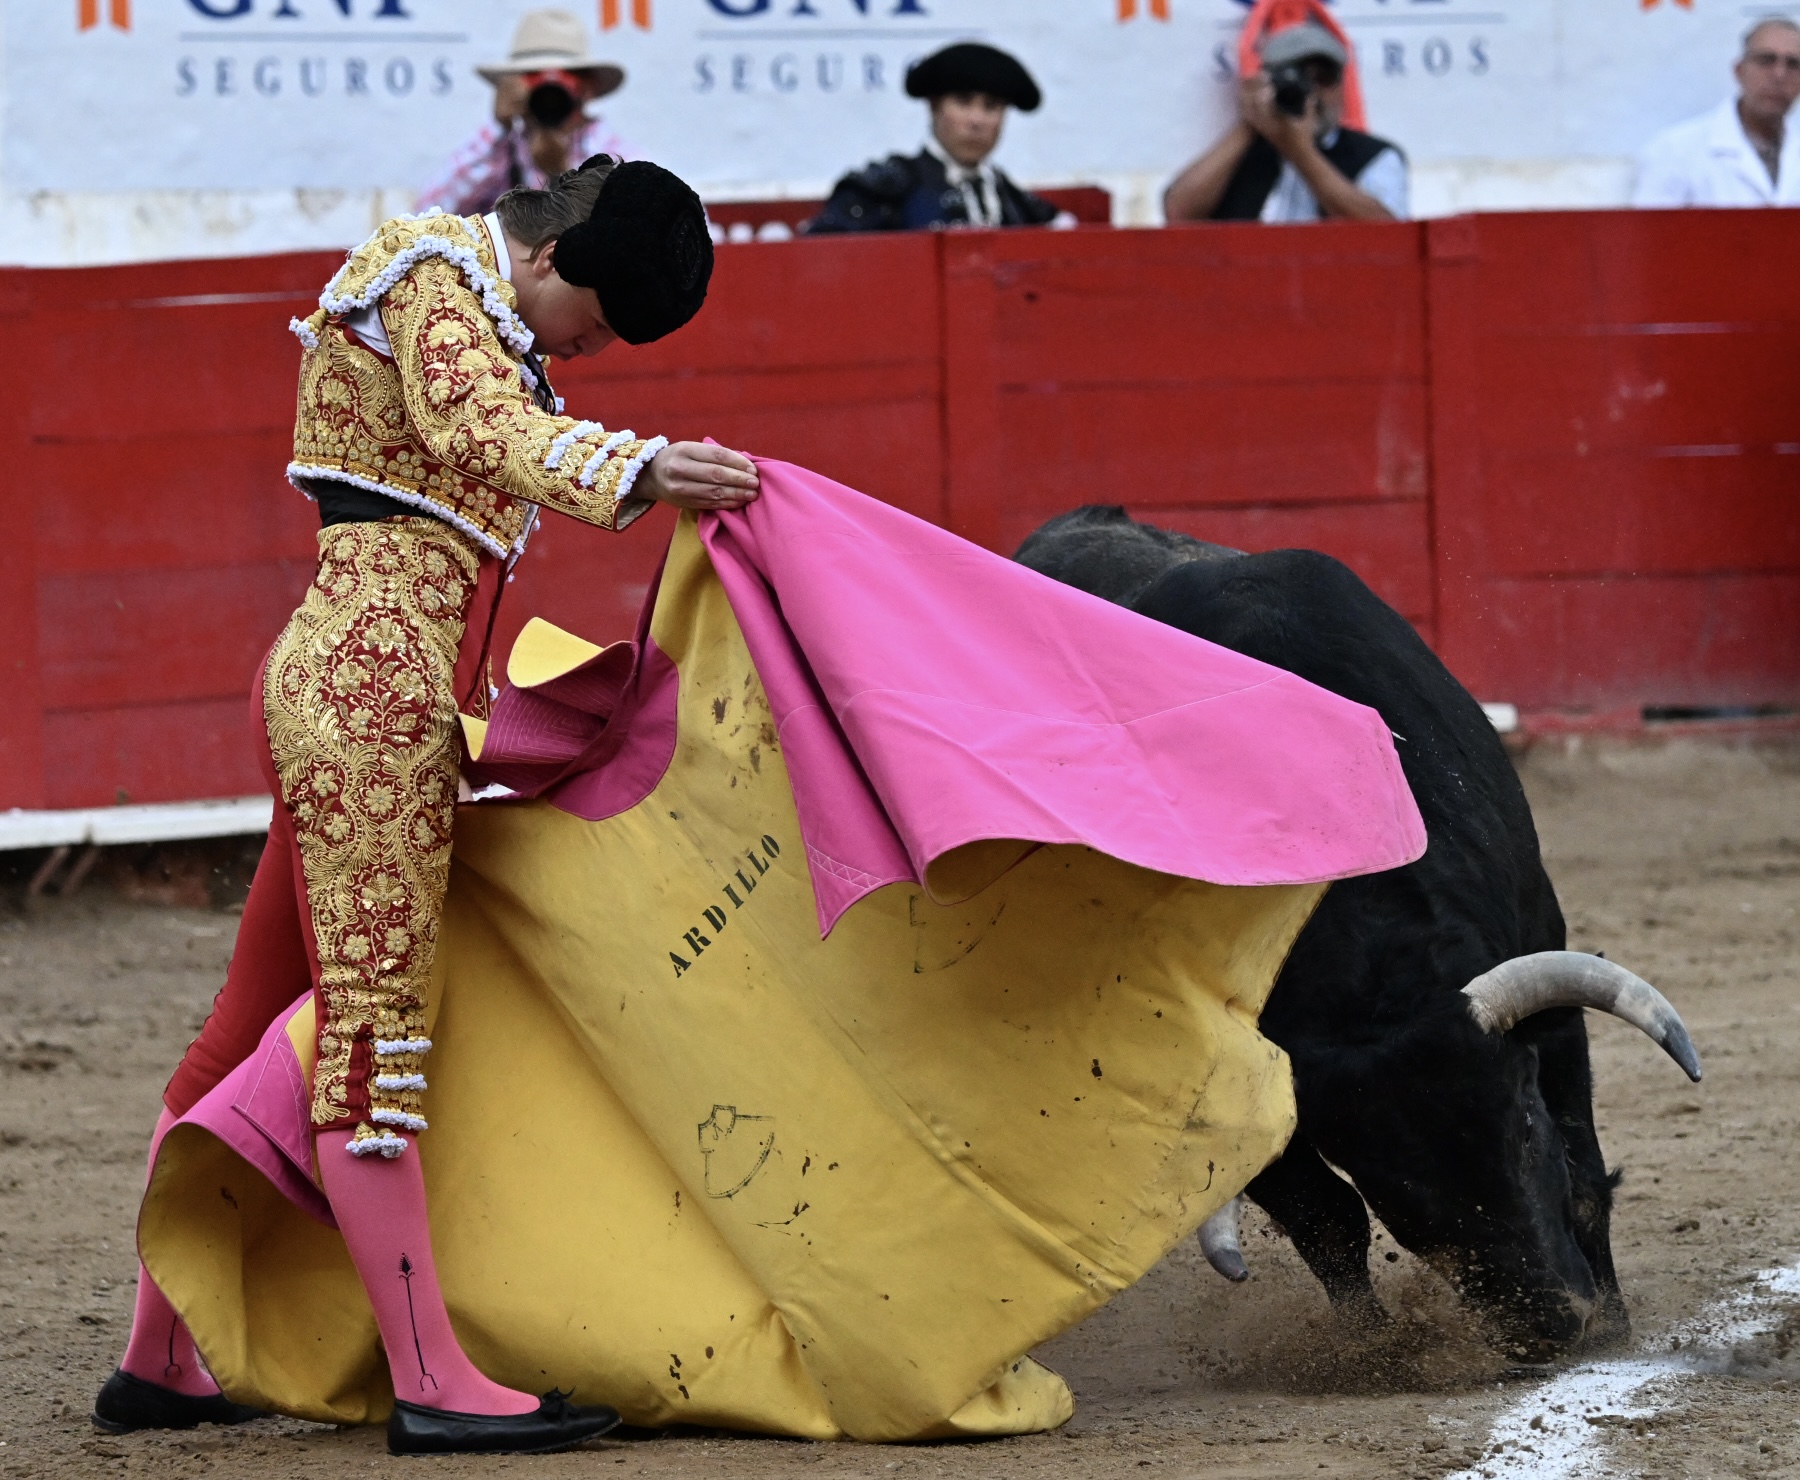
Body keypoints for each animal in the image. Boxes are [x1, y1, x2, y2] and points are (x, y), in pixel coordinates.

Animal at [1013, 506, 1701, 1361]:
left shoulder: (1551, 991)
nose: (1548, 1326)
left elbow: (1582, 1174)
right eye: (1396, 1192)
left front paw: (1614, 1325)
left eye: (1523, 1128)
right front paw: (1370, 1351)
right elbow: (1326, 1221)